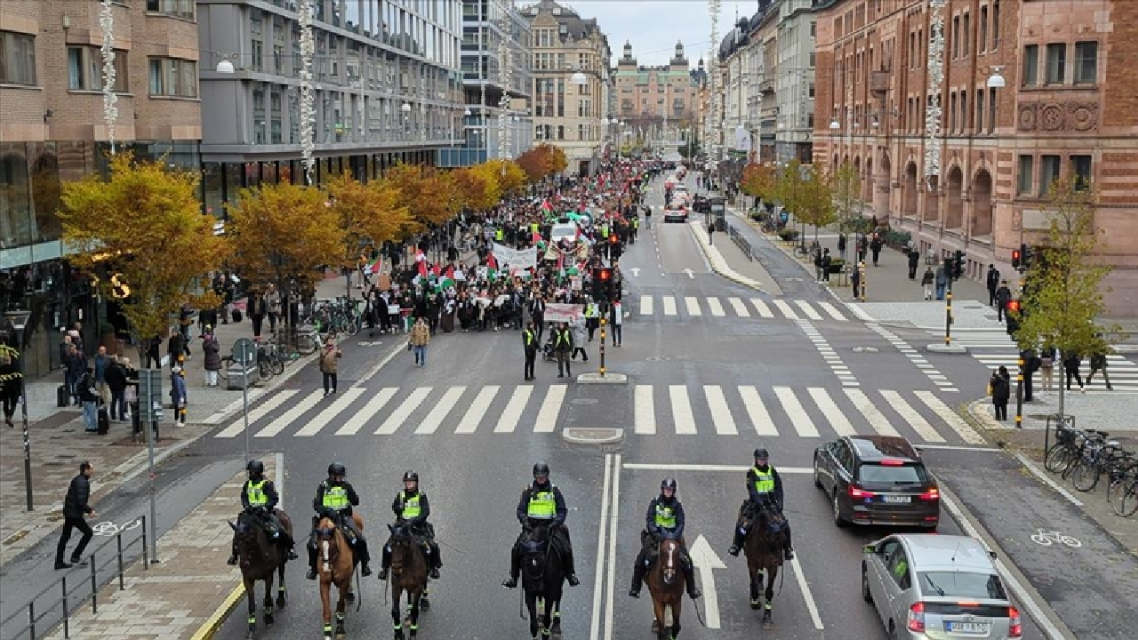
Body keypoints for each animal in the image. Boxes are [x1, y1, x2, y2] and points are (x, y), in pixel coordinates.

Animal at [229, 505, 293, 633]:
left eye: (249, 539)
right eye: (236, 541)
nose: (244, 564)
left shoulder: (268, 576)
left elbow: (267, 596)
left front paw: (268, 618)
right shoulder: (247, 579)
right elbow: (251, 603)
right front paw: (251, 628)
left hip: (282, 562)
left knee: (281, 576)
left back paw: (280, 600)